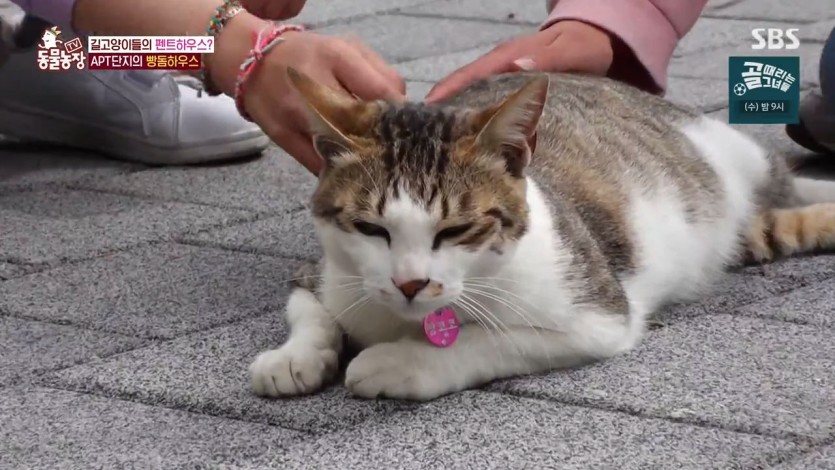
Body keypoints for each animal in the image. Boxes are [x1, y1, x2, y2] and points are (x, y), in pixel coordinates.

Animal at [247, 67, 835, 400]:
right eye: (370, 228)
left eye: (457, 230)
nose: (410, 284)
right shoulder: (325, 272)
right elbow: (309, 310)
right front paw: (294, 358)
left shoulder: (599, 317)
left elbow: (492, 340)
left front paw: (403, 361)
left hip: (726, 150)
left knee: (784, 178)